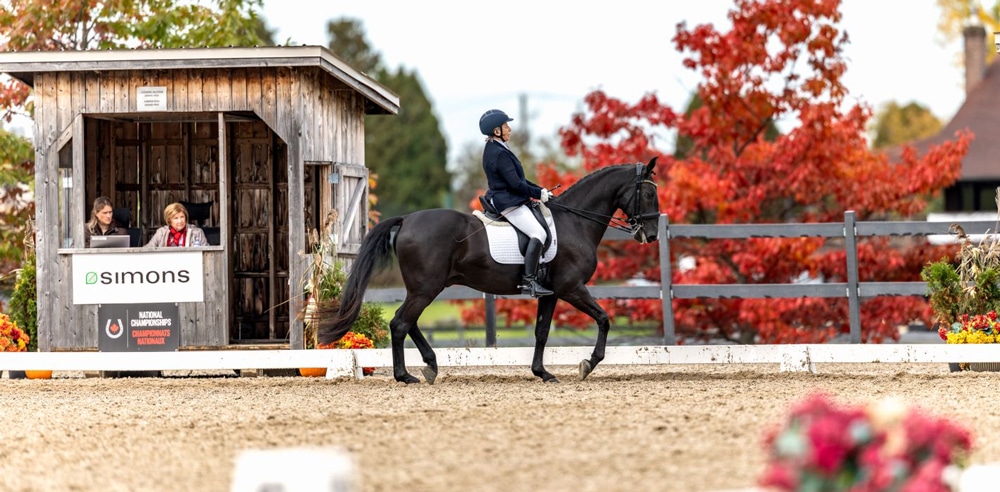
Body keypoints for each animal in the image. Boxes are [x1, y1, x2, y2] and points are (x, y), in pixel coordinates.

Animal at [318, 157, 662, 384]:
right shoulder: (572, 288)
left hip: (425, 287)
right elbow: (604, 319)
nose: (651, 235)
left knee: (407, 321)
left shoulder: (550, 293)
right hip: (426, 287)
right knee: (401, 322)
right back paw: (406, 376)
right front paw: (588, 364)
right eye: (648, 193)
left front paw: (543, 373)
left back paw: (430, 366)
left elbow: (541, 332)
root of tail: (407, 219)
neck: (575, 222)